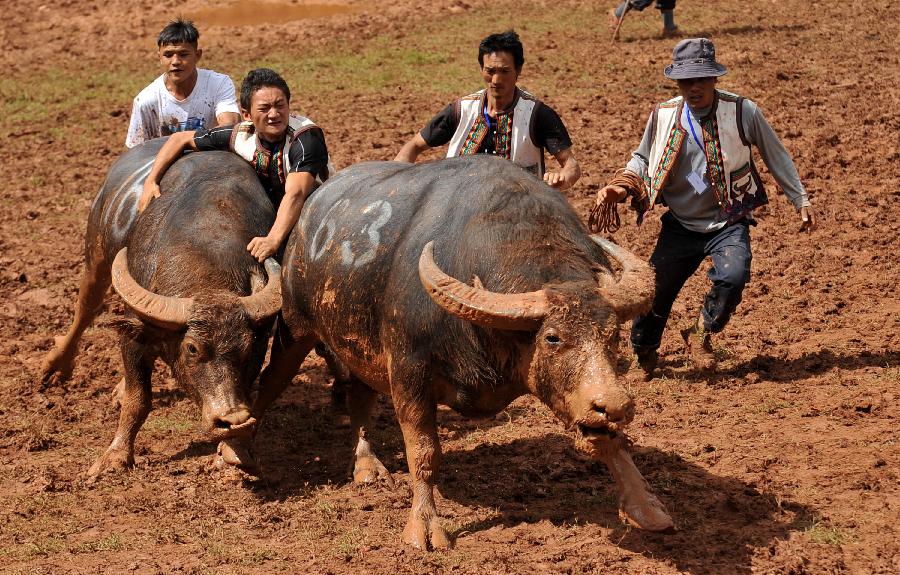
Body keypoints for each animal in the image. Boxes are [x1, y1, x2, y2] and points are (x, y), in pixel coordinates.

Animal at [40, 141, 280, 482]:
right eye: (192, 348)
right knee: (86, 306)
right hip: (96, 252)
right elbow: (137, 400)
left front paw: (238, 450)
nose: (231, 418)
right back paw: (54, 366)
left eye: (249, 349)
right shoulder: (132, 336)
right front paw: (115, 457)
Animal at [250, 155, 672, 552]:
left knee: (360, 397)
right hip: (294, 327)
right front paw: (424, 528)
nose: (614, 406)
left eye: (612, 336)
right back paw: (242, 450)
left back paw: (367, 464)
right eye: (552, 338)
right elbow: (423, 453)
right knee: (271, 381)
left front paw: (647, 509)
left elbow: (613, 442)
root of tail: (308, 217)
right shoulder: (408, 373)